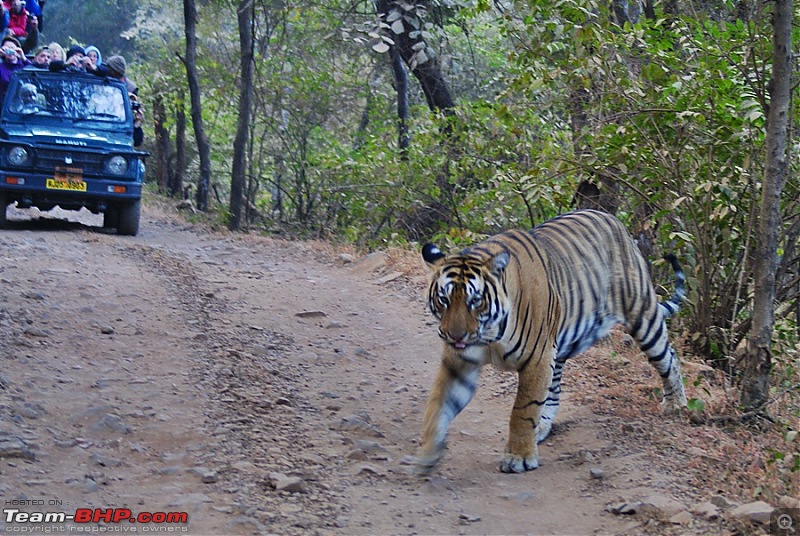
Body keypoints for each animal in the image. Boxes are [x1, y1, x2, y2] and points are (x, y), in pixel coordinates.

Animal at [416, 209, 684, 474]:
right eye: (444, 299)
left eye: (475, 301)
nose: (455, 336)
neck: (489, 333)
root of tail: (611, 217)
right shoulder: (460, 363)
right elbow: (438, 403)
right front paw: (428, 453)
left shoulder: (536, 359)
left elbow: (523, 410)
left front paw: (518, 457)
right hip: (561, 344)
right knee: (553, 391)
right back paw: (542, 428)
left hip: (643, 317)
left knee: (669, 358)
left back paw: (676, 405)